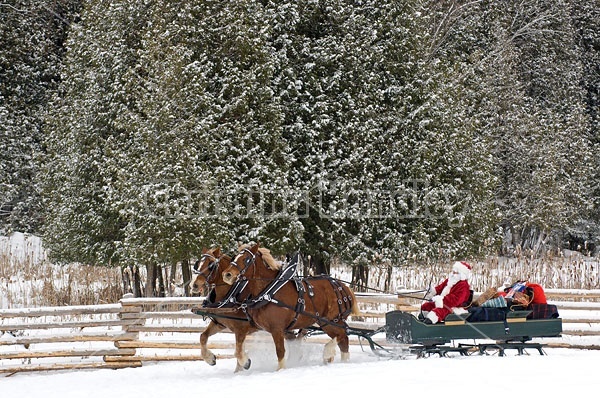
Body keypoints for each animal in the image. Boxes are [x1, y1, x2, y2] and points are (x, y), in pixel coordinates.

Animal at [221, 243, 358, 370]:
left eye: (247, 259)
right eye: (234, 257)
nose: (227, 274)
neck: (269, 291)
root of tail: (344, 287)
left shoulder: (277, 329)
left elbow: (280, 352)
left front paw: (280, 369)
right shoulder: (260, 327)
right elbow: (238, 350)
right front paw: (246, 362)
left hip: (332, 321)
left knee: (343, 335)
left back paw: (328, 353)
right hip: (326, 322)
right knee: (343, 341)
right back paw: (342, 361)